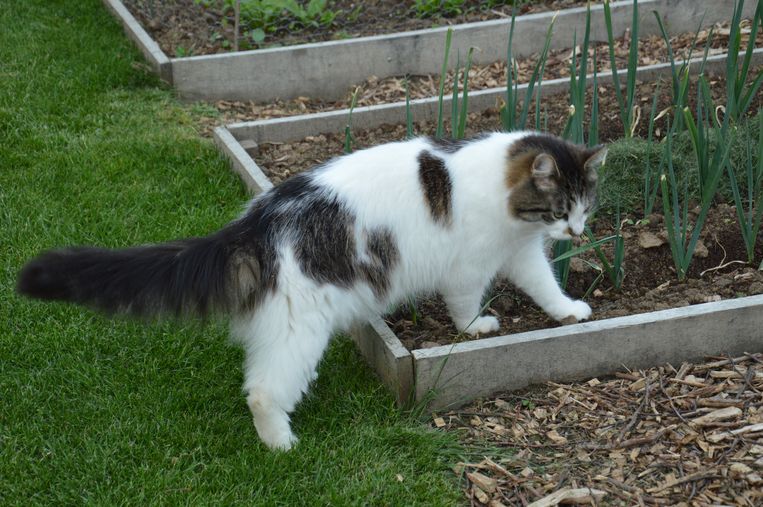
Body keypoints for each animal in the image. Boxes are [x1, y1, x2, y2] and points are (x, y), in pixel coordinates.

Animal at [14, 132, 604, 452]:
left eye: (584, 207)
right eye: (560, 208)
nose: (577, 233)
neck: (501, 195)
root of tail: (258, 222)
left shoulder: (522, 253)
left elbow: (546, 287)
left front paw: (569, 312)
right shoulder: (468, 266)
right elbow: (463, 305)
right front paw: (475, 328)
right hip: (300, 330)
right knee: (261, 390)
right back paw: (281, 445)